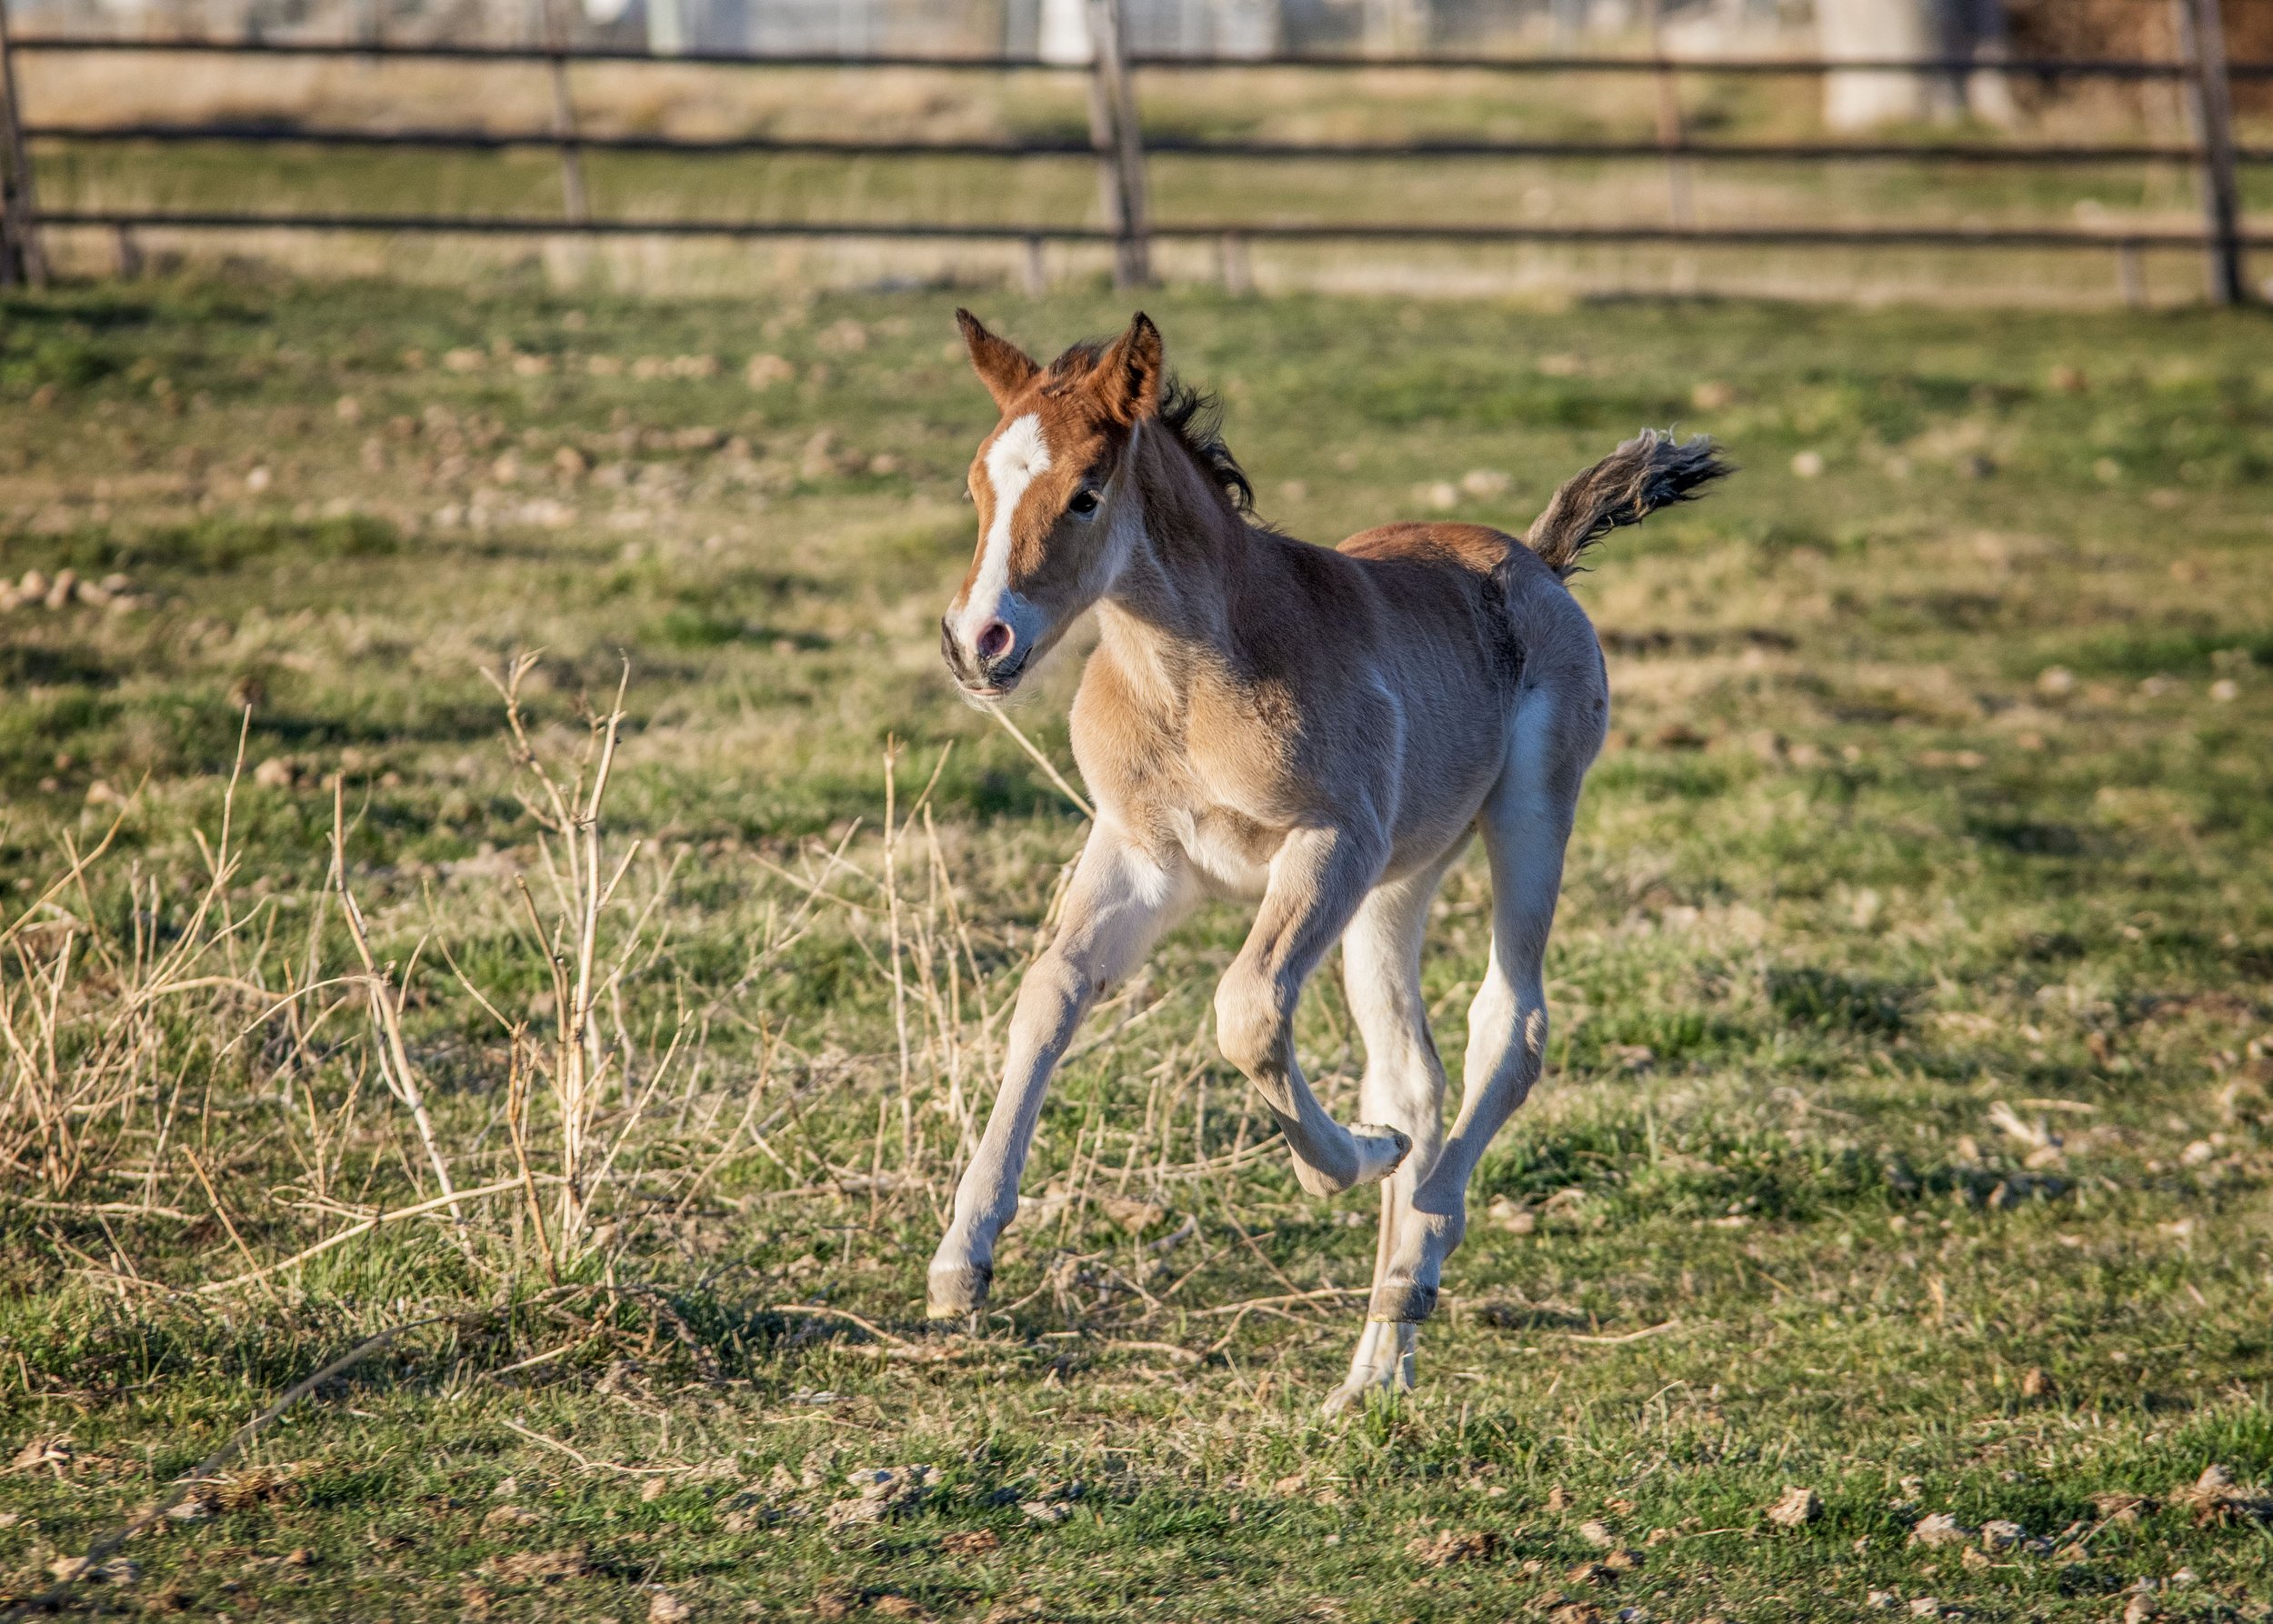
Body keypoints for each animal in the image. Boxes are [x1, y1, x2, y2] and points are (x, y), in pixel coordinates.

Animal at [926, 309, 1726, 1411]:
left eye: (1085, 492)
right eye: (976, 483)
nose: (978, 641)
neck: (1188, 682)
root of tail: (1538, 560)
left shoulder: (1328, 844)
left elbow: (1248, 1009)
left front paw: (1342, 1165)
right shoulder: (1141, 855)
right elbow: (1051, 988)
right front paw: (962, 1260)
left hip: (1528, 814)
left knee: (1509, 1025)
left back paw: (1416, 1243)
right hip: (1398, 882)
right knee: (1413, 1072)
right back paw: (1373, 1373)